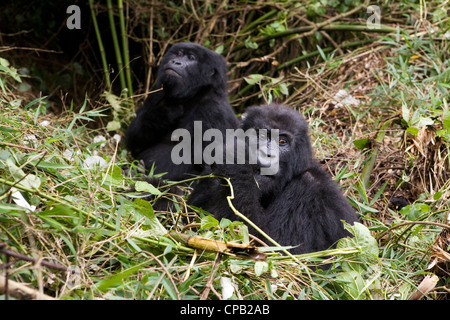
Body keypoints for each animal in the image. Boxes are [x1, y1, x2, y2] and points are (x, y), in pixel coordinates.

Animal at [125, 42, 239, 180]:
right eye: (179, 54)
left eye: (191, 58)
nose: (176, 62)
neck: (195, 94)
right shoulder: (157, 91)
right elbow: (134, 141)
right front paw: (160, 115)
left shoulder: (214, 110)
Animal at [188, 104, 360, 254]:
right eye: (262, 135)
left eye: (282, 141)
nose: (267, 154)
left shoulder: (308, 185)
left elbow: (278, 250)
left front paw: (236, 165)